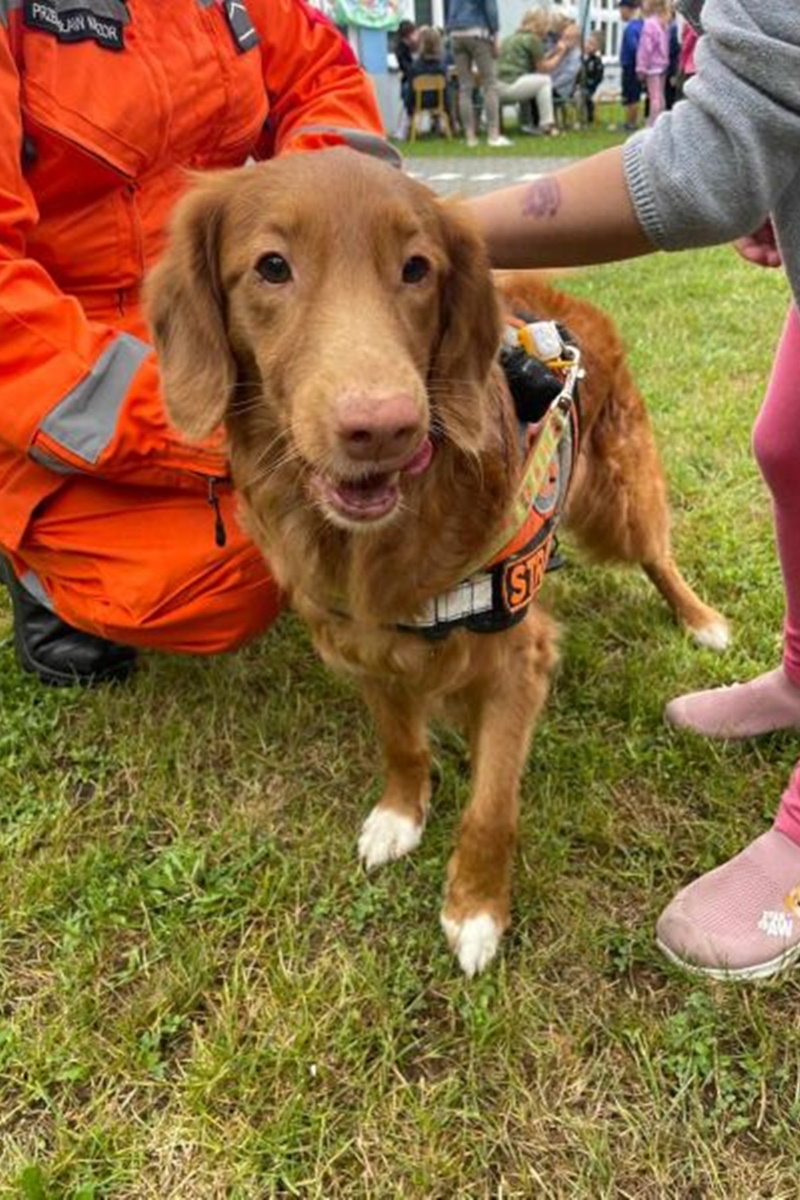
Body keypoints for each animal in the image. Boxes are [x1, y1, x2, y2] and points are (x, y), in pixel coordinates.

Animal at [146, 147, 728, 976]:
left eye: (417, 269)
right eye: (271, 267)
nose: (382, 427)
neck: (385, 537)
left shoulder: (518, 658)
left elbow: (492, 805)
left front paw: (476, 908)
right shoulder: (360, 639)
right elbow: (401, 741)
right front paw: (401, 813)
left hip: (620, 499)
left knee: (657, 555)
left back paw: (701, 619)